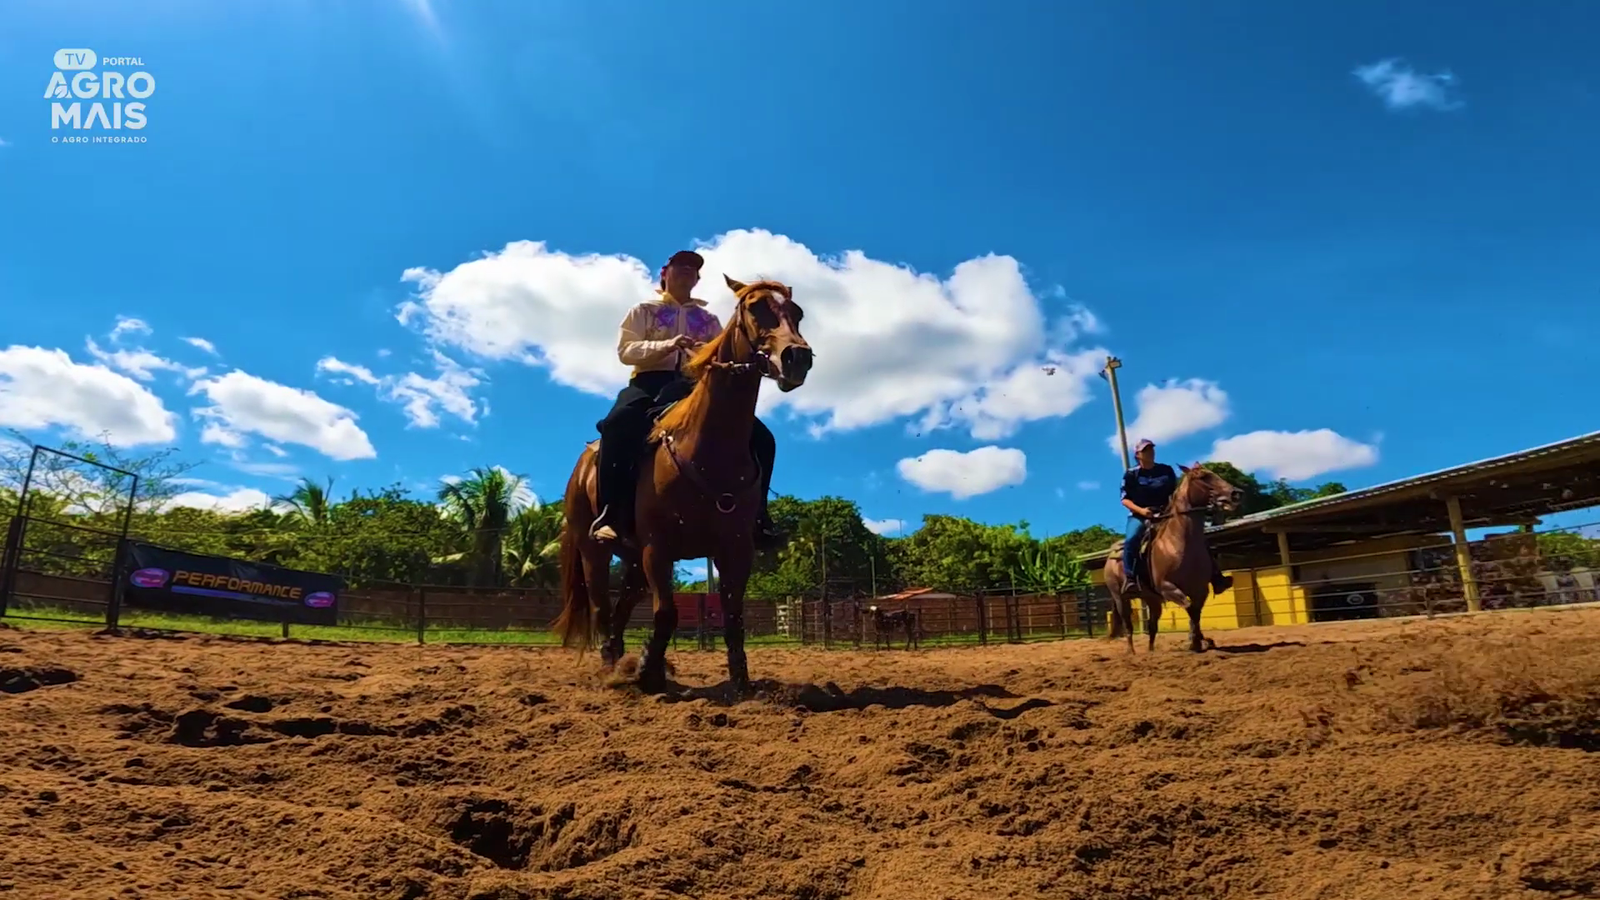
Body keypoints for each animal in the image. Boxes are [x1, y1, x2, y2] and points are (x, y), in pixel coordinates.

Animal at [552, 275, 812, 696]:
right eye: (755, 307)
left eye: (797, 312)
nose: (797, 358)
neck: (706, 447)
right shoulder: (659, 549)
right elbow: (667, 614)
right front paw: (649, 673)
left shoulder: (735, 550)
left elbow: (733, 619)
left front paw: (741, 684)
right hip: (594, 551)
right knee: (602, 608)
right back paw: (612, 668)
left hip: (633, 560)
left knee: (622, 608)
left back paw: (622, 658)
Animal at [1102, 464, 1241, 653]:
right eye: (1203, 477)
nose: (1235, 494)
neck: (1178, 542)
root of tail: (1110, 557)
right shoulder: (1167, 587)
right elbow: (1190, 609)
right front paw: (1198, 641)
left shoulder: (1200, 590)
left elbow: (1195, 613)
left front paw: (1199, 642)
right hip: (1120, 598)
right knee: (1128, 625)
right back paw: (1131, 651)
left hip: (1152, 599)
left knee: (1152, 626)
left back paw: (1152, 651)